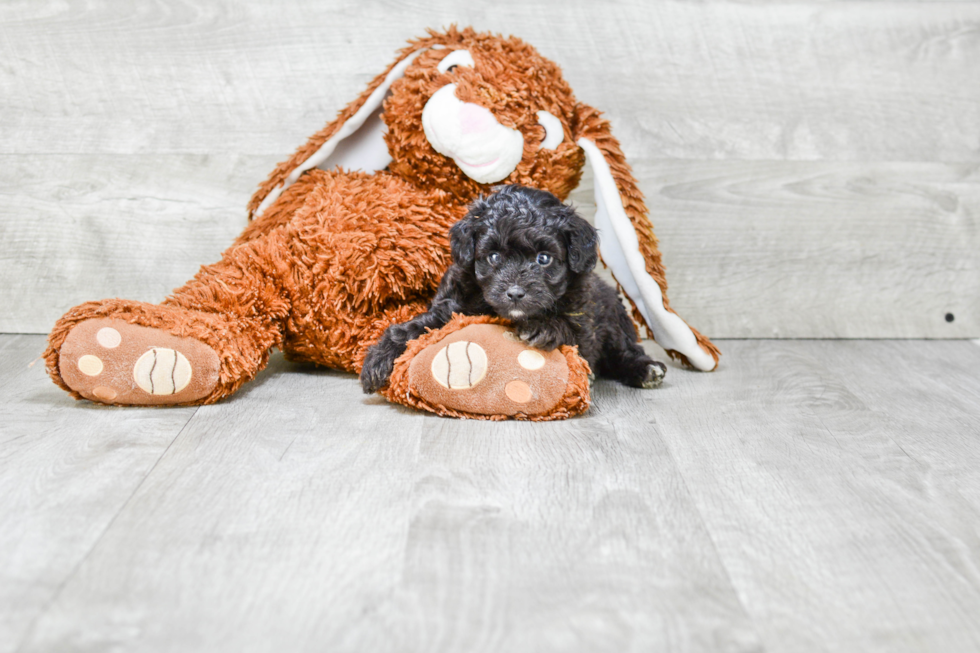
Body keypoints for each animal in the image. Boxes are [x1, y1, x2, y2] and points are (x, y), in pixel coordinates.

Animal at [360, 186, 668, 394]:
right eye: (494, 256)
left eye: (543, 259)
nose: (516, 293)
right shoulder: (451, 306)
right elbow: (414, 328)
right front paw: (379, 359)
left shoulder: (584, 318)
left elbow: (569, 327)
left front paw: (543, 327)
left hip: (615, 318)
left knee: (621, 351)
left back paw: (646, 369)